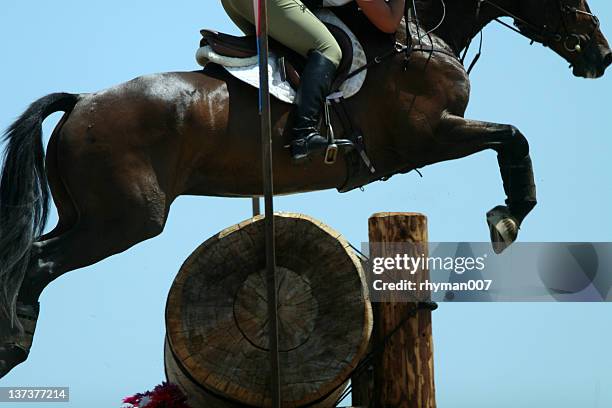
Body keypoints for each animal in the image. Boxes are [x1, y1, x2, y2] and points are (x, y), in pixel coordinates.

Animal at [0, 0, 608, 378]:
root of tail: (81, 100)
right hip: (125, 220)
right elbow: (512, 137)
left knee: (32, 257)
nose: (599, 55)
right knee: (38, 263)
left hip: (89, 216)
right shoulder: (428, 136)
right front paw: (508, 216)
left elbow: (510, 137)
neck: (414, 38)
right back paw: (14, 347)